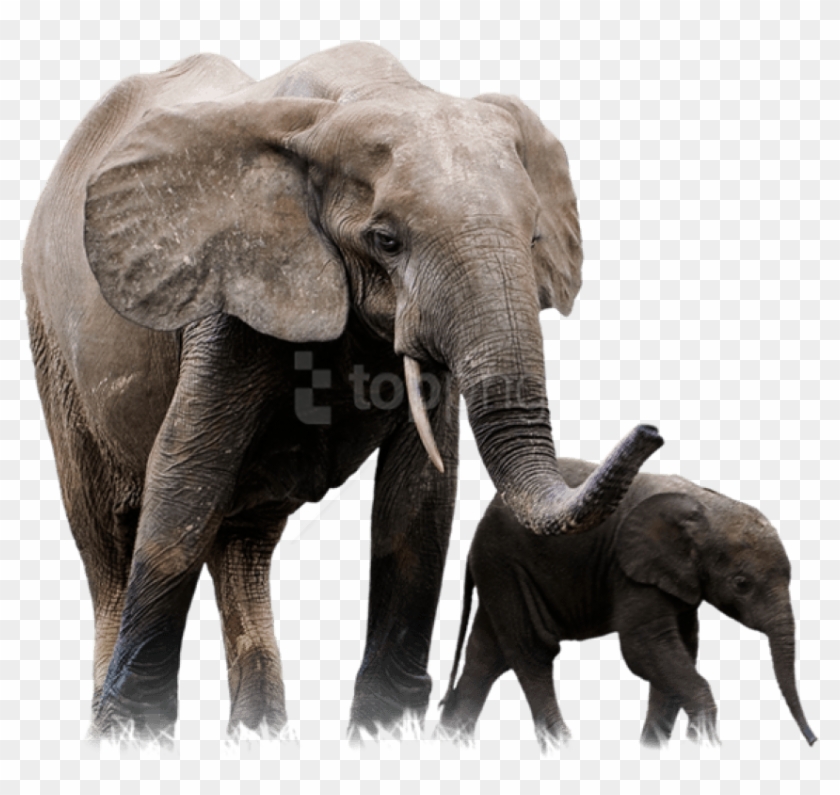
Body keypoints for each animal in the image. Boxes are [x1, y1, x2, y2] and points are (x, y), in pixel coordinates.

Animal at [21, 42, 663, 741]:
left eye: (533, 240)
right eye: (386, 240)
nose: (652, 431)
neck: (348, 102)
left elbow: (419, 495)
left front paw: (384, 730)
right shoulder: (233, 285)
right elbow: (187, 471)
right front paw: (136, 736)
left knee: (243, 543)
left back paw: (258, 735)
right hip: (51, 339)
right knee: (107, 540)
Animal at [439, 458, 817, 749]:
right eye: (742, 584)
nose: (813, 741)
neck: (706, 503)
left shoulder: (677, 581)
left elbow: (680, 652)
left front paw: (655, 753)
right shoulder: (631, 570)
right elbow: (643, 648)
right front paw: (705, 746)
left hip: (499, 572)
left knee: (486, 656)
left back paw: (450, 744)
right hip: (505, 566)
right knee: (532, 650)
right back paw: (562, 749)